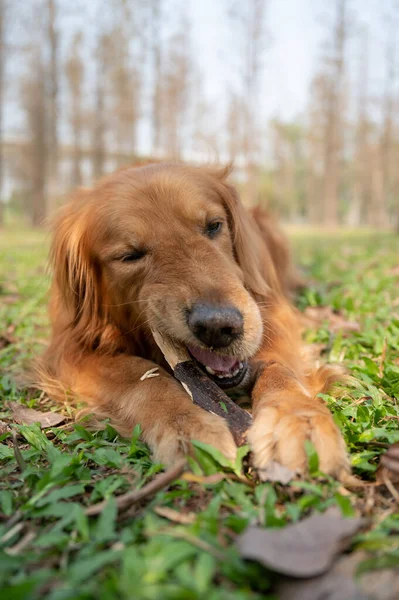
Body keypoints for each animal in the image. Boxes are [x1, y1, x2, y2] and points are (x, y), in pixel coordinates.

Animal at [38, 163, 350, 478]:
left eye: (213, 225)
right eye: (129, 256)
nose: (218, 327)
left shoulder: (272, 314)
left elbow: (279, 367)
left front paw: (298, 418)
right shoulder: (70, 348)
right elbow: (139, 374)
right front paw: (187, 424)